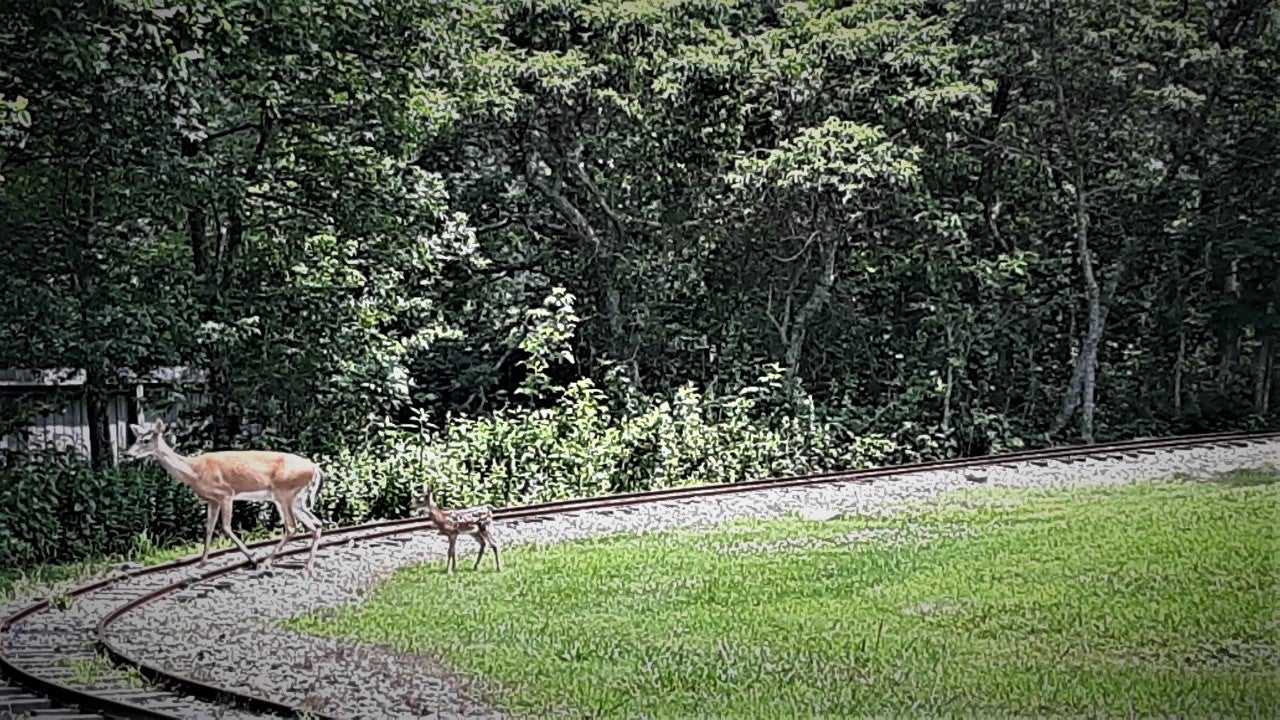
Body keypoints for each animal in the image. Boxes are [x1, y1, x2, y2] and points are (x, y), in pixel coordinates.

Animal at [124, 419, 326, 572]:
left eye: (146, 440)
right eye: (136, 438)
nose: (127, 454)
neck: (195, 471)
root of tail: (315, 468)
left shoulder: (226, 494)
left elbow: (226, 527)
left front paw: (252, 558)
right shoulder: (212, 500)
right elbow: (209, 528)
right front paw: (202, 562)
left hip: (284, 493)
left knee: (292, 527)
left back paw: (266, 563)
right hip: (297, 499)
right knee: (316, 524)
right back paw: (308, 566)